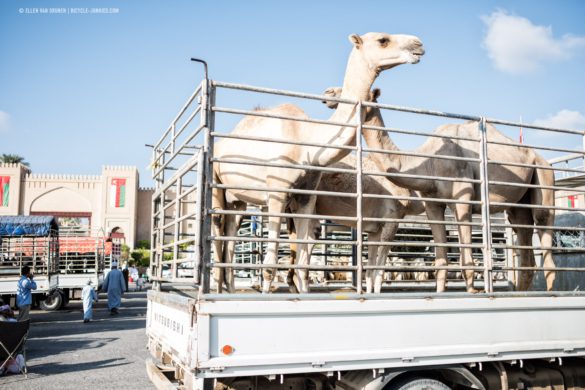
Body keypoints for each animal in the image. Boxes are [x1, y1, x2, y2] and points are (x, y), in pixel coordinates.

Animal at [212, 31, 422, 292]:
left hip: (237, 199)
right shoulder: (277, 191)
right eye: (383, 40)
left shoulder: (306, 196)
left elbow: (303, 261)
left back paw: (229, 289)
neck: (307, 141)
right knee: (217, 229)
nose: (418, 44)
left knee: (230, 237)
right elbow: (270, 264)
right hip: (217, 181)